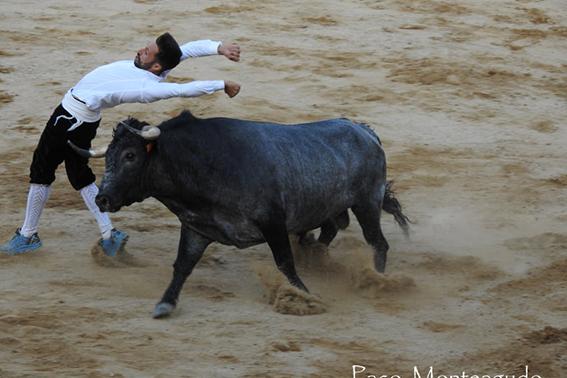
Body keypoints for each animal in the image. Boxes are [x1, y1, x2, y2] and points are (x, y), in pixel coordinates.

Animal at [69, 112, 410, 318]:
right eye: (109, 157)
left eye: (130, 155)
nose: (102, 198)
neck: (208, 165)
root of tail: (365, 131)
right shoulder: (197, 228)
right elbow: (182, 266)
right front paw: (165, 303)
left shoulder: (273, 224)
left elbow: (284, 262)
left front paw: (305, 298)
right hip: (331, 207)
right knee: (328, 232)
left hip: (367, 202)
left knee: (378, 243)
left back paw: (377, 281)